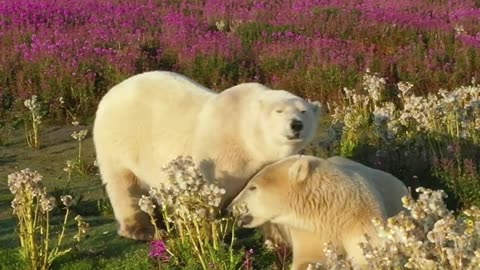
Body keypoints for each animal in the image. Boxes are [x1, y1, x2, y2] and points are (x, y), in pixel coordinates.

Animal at [92, 70, 320, 240]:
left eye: (304, 111)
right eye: (279, 111)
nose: (296, 125)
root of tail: (110, 93)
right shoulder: (219, 153)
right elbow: (199, 195)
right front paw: (200, 232)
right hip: (117, 141)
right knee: (123, 184)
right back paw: (142, 230)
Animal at [229, 155, 408, 268]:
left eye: (252, 187)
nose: (230, 208)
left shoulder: (359, 218)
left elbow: (368, 252)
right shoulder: (308, 229)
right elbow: (309, 257)